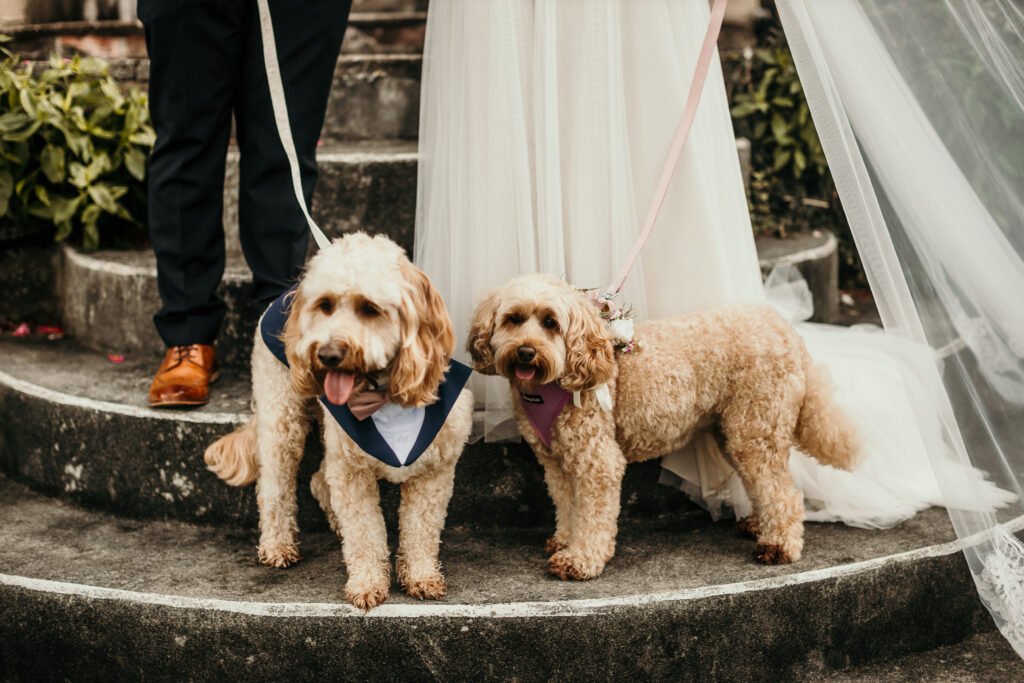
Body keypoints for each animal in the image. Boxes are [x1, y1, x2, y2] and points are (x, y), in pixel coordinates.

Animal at [204, 233, 475, 610]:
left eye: (370, 309)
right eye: (326, 305)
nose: (327, 355)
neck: (382, 396)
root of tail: (288, 293)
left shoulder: (433, 473)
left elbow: (420, 530)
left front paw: (421, 577)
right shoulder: (352, 472)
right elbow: (364, 533)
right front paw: (367, 583)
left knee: (319, 480)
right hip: (282, 416)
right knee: (274, 485)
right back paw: (277, 545)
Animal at [468, 274, 860, 581]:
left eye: (550, 322)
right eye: (513, 319)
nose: (526, 352)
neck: (555, 381)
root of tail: (786, 331)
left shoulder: (597, 462)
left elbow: (593, 516)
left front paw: (581, 559)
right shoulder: (556, 462)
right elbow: (568, 505)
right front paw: (566, 540)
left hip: (756, 427)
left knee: (785, 493)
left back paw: (779, 544)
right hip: (736, 430)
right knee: (764, 483)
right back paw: (761, 525)